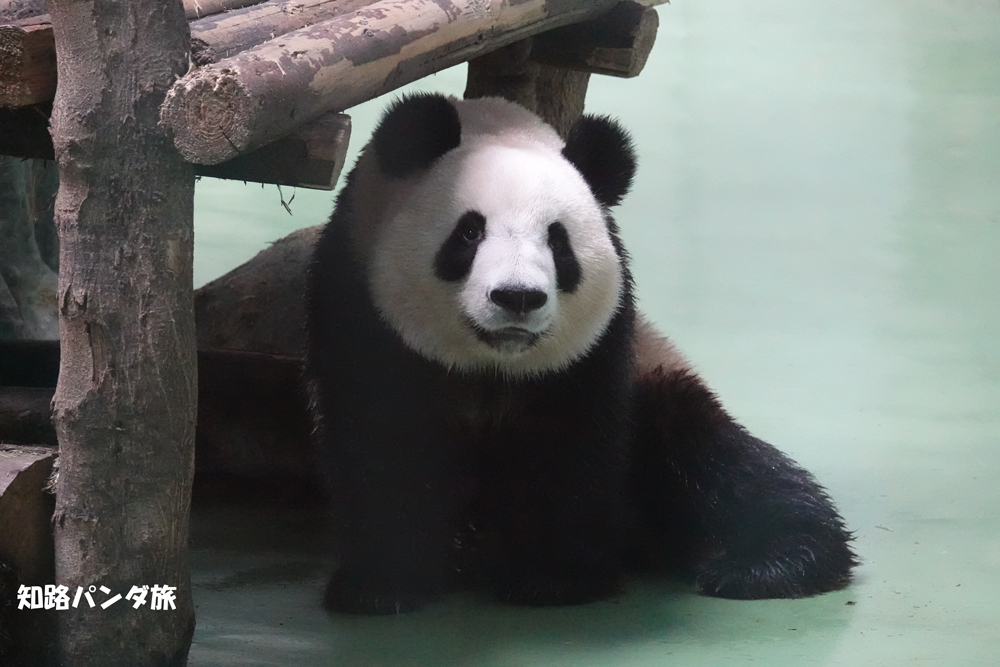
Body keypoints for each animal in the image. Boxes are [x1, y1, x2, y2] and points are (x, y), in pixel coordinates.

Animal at [305, 93, 856, 615]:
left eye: (558, 241)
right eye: (469, 232)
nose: (518, 297)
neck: (491, 366)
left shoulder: (594, 348)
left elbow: (571, 444)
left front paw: (552, 579)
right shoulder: (358, 307)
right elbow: (381, 443)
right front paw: (385, 585)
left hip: (659, 389)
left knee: (720, 464)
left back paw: (770, 562)